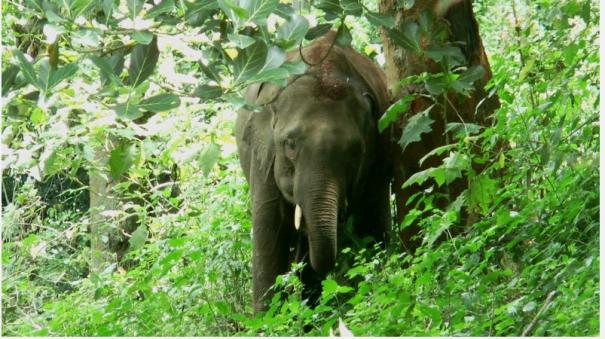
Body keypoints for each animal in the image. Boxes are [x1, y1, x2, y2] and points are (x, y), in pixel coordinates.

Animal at [236, 31, 392, 314]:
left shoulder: (379, 158)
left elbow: (373, 229)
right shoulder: (262, 156)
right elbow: (268, 241)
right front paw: (267, 319)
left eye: (355, 150)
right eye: (289, 144)